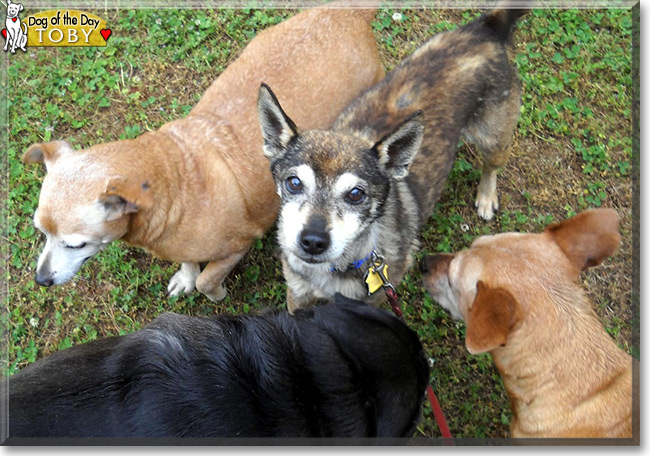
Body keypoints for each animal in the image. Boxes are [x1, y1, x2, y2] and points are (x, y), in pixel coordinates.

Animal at [21, 5, 384, 302]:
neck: (174, 177)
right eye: (40, 232)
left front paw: (216, 293)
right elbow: (189, 264)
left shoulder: (237, 248)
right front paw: (186, 275)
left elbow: (207, 282)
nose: (41, 280)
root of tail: (352, 14)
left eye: (76, 244)